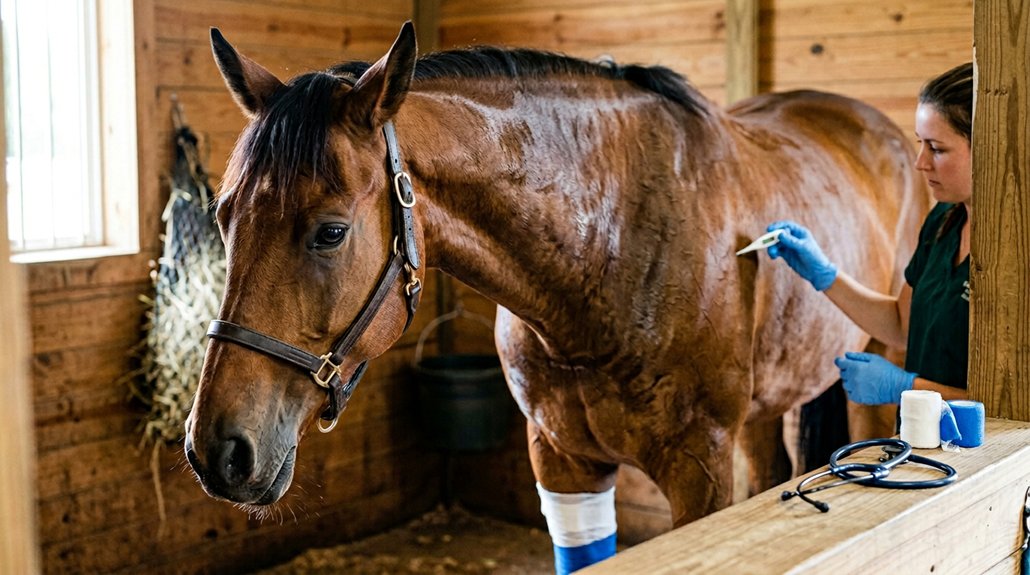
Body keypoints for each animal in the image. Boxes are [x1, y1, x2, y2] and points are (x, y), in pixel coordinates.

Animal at [185, 21, 927, 571]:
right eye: (223, 215)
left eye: (331, 231)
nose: (217, 450)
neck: (609, 249)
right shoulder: (563, 461)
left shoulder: (701, 470)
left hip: (876, 362)